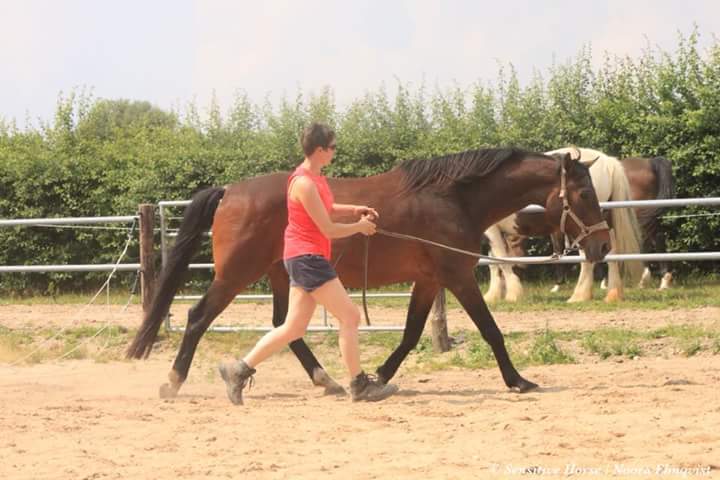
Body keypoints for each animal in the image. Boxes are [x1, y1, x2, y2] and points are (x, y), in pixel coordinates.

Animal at [126, 149, 612, 398]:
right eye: (585, 194)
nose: (603, 245)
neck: (451, 197)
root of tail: (230, 191)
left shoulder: (430, 280)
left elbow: (412, 333)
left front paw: (378, 376)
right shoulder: (456, 276)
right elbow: (491, 330)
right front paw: (518, 381)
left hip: (282, 277)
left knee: (287, 328)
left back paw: (325, 380)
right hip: (236, 275)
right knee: (198, 318)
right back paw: (173, 382)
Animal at [484, 148, 640, 302]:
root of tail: (608, 161)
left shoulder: (491, 230)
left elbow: (501, 260)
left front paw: (512, 293)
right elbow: (494, 261)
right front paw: (494, 294)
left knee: (588, 261)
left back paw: (580, 295)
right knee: (611, 252)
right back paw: (613, 294)